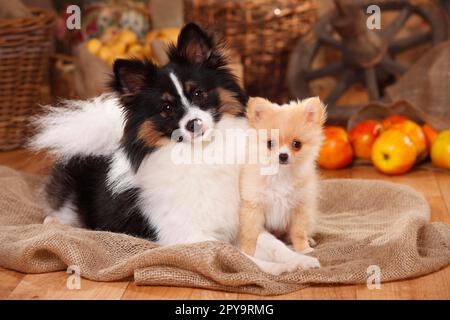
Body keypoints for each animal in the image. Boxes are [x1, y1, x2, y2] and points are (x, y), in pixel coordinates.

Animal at [31, 23, 320, 276]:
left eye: (199, 93)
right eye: (167, 108)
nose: (193, 123)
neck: (200, 152)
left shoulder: (240, 220)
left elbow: (272, 244)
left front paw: (298, 259)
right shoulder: (190, 236)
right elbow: (235, 254)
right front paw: (273, 269)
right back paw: (53, 222)